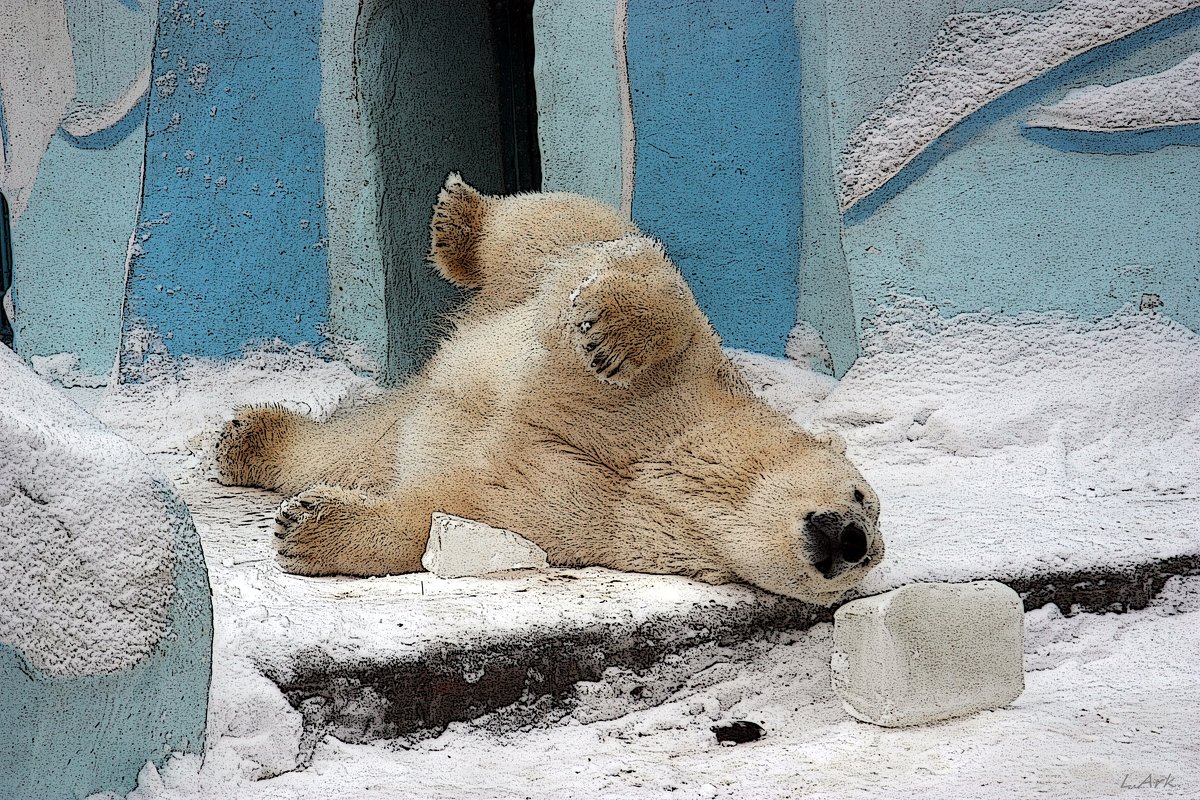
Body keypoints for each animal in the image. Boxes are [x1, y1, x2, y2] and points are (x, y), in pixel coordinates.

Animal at [216, 173, 883, 599]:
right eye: (861, 497)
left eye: (865, 562)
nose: (852, 541)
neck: (667, 466)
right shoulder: (692, 387)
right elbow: (661, 297)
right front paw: (606, 335)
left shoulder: (589, 521)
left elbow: (450, 516)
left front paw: (306, 528)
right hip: (537, 271)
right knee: (546, 229)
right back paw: (459, 217)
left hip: (395, 428)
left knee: (351, 449)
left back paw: (248, 441)